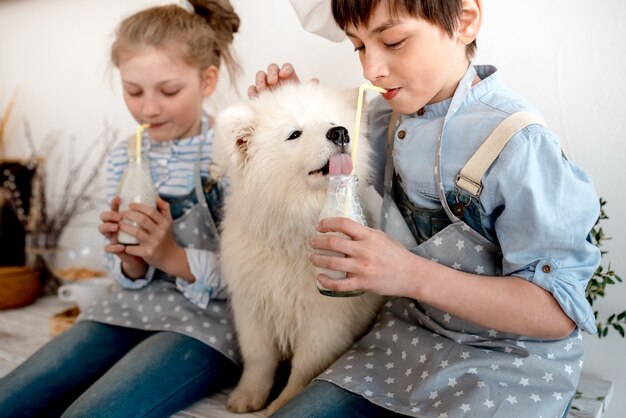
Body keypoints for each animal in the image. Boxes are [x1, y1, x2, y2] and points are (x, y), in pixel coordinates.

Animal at [217, 82, 388, 414]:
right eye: (294, 134)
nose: (340, 132)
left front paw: (282, 403)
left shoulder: (325, 317)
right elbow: (258, 358)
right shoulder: (252, 304)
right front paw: (247, 396)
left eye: (334, 120)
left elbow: (305, 367)